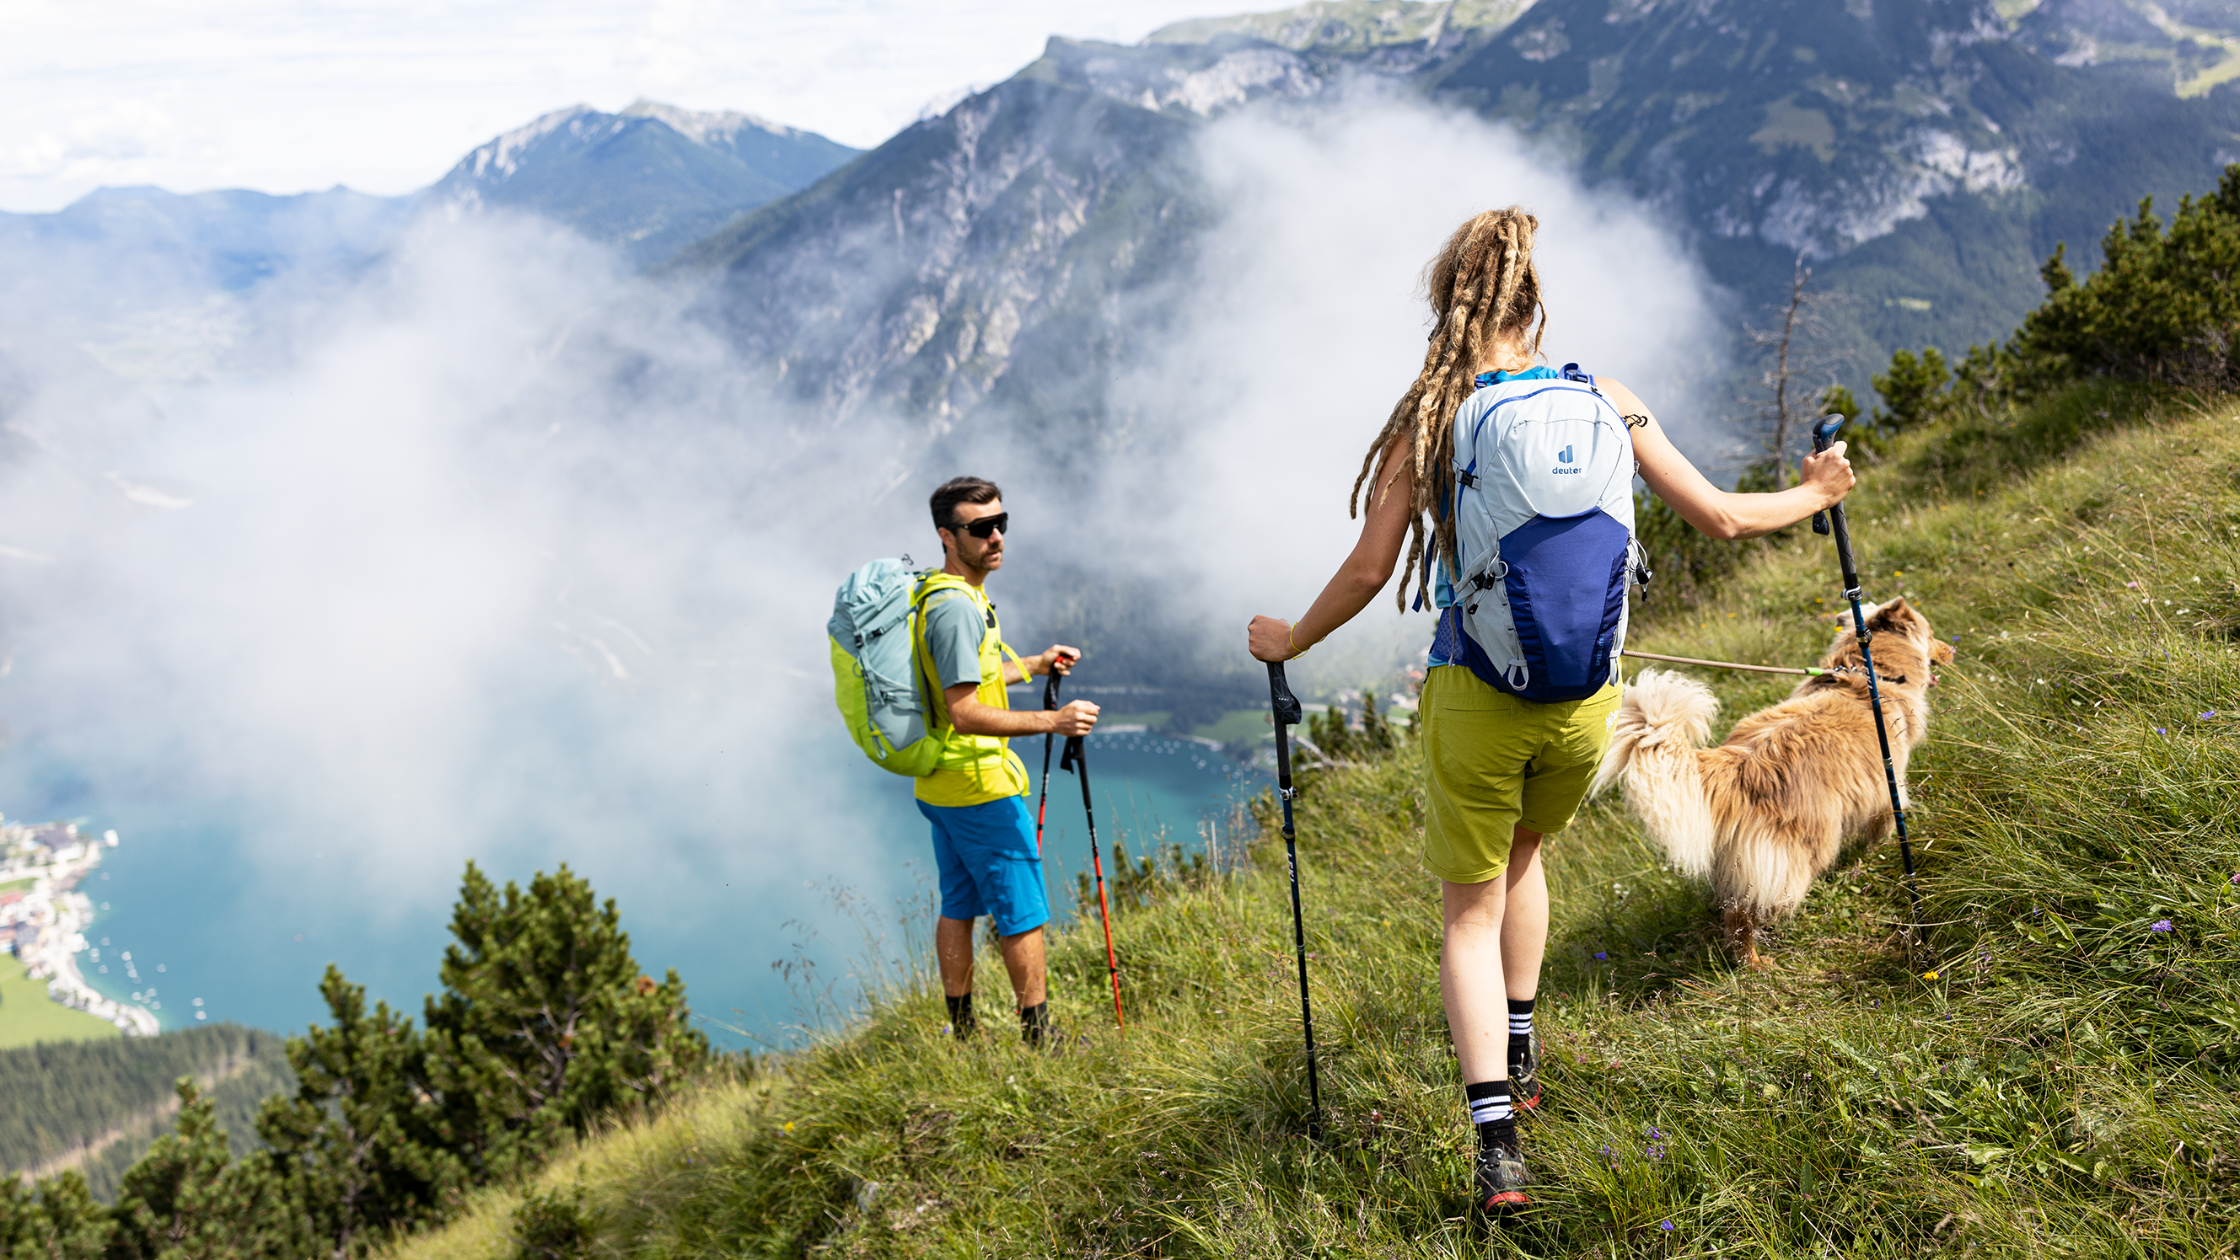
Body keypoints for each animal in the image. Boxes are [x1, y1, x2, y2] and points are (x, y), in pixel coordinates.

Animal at [1603, 596, 1953, 959]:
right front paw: (1877, 849)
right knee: (1745, 914)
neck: (1867, 672)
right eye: (1930, 634)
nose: (1952, 649)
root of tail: (1735, 767)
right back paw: (1755, 962)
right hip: (1794, 858)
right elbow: (1884, 824)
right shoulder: (1887, 782)